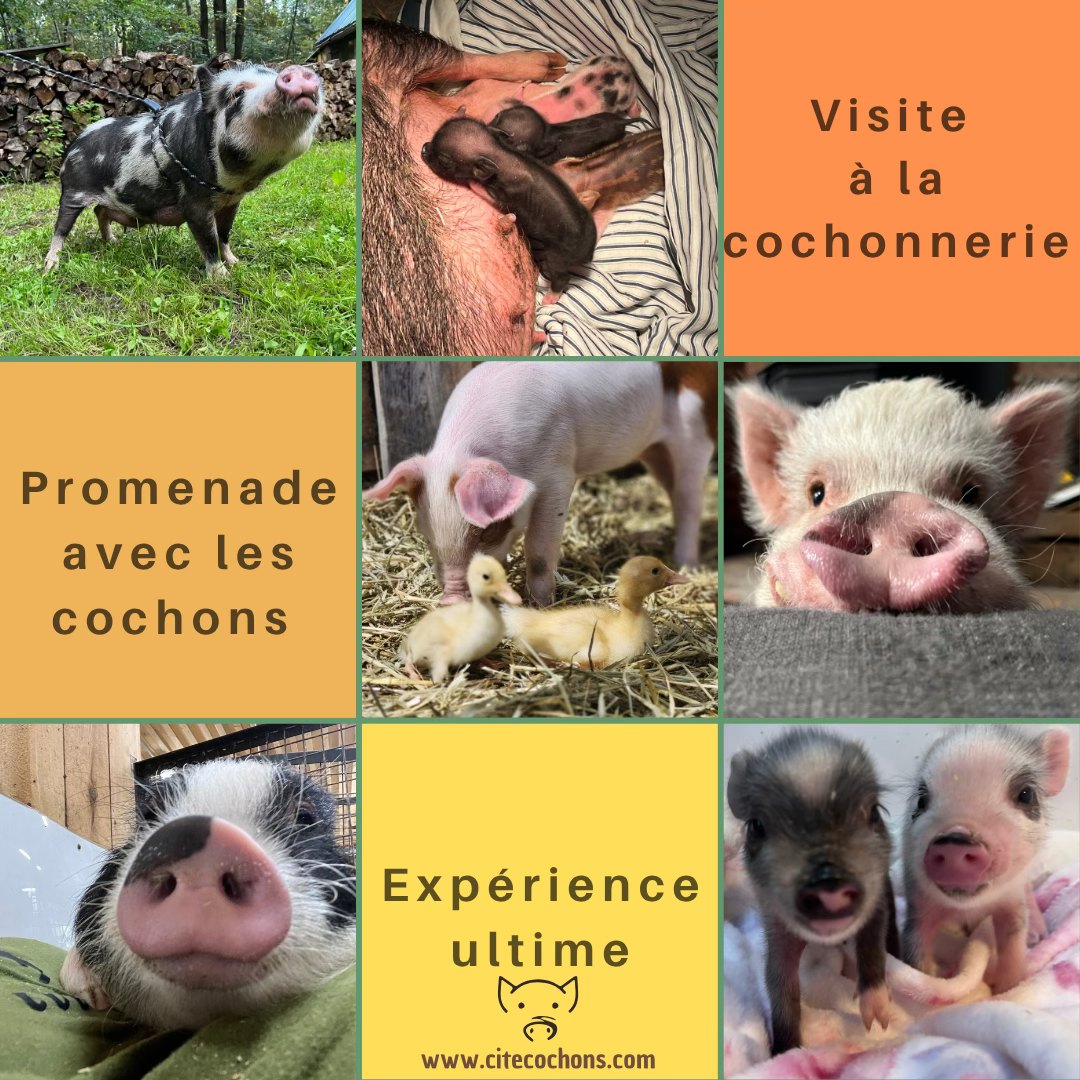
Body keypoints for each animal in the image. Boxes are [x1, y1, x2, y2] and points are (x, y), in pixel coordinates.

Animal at [45, 60, 323, 277]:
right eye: (238, 93)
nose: (297, 71)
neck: (232, 184)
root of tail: (74, 145)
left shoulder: (232, 202)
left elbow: (224, 235)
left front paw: (237, 263)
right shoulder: (193, 200)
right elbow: (208, 240)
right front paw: (221, 277)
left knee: (100, 211)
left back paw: (113, 242)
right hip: (73, 191)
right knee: (61, 228)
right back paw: (50, 266)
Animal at [362, 360, 717, 605]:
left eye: (486, 531)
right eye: (426, 532)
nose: (451, 599)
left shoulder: (558, 472)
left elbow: (539, 553)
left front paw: (542, 605)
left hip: (694, 430)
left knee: (690, 500)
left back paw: (686, 562)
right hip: (653, 450)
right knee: (672, 491)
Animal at [422, 116, 597, 293]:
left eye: (444, 161)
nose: (423, 148)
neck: (501, 155)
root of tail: (588, 252)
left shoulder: (506, 196)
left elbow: (490, 195)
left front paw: (474, 183)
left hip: (558, 257)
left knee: (561, 278)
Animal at [727, 728, 897, 1056]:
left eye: (873, 813)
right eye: (756, 826)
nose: (829, 886)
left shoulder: (877, 899)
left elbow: (872, 942)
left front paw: (878, 1022)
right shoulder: (777, 928)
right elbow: (780, 984)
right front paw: (783, 1053)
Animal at [902, 726, 1071, 994]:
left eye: (1026, 795)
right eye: (921, 800)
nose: (955, 839)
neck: (970, 907)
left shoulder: (1012, 900)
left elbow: (1014, 938)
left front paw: (1007, 990)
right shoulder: (917, 903)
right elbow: (916, 955)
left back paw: (1037, 934)